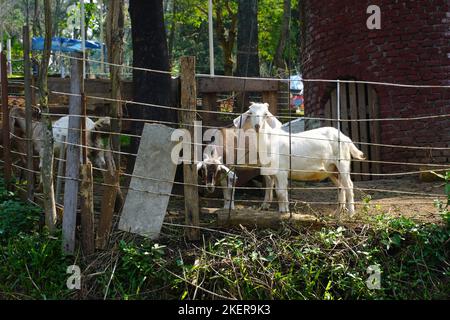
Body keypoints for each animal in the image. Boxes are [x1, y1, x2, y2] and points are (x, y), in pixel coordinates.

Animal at [232, 103, 366, 218]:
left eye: (265, 114)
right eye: (250, 113)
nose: (257, 126)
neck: (269, 141)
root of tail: (345, 137)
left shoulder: (282, 171)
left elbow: (280, 192)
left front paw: (284, 211)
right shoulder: (272, 172)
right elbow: (276, 190)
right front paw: (280, 208)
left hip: (342, 163)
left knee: (349, 186)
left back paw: (351, 214)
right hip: (331, 169)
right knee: (341, 187)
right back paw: (337, 214)